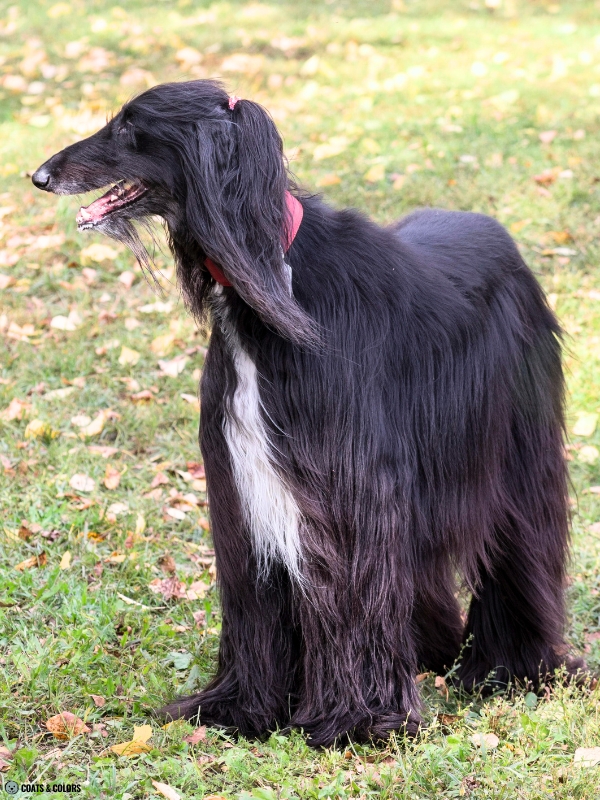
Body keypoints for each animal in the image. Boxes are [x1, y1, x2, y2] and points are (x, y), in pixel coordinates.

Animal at [31, 78, 580, 748]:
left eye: (131, 128)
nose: (39, 176)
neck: (272, 278)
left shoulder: (349, 478)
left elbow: (354, 589)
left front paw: (359, 719)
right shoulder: (244, 480)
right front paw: (240, 709)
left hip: (513, 443)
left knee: (519, 540)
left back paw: (513, 667)